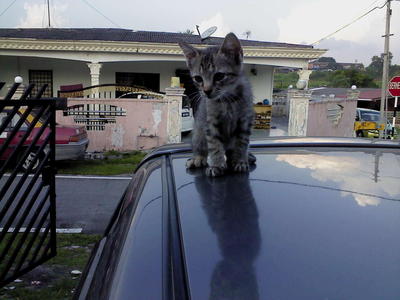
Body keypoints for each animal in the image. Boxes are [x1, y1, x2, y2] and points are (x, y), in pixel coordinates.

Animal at [180, 32, 255, 177]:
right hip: (198, 131)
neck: (227, 101)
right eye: (198, 78)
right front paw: (216, 165)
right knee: (200, 146)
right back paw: (198, 158)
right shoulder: (210, 122)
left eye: (219, 76)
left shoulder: (244, 121)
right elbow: (214, 144)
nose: (206, 91)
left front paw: (240, 161)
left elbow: (242, 143)